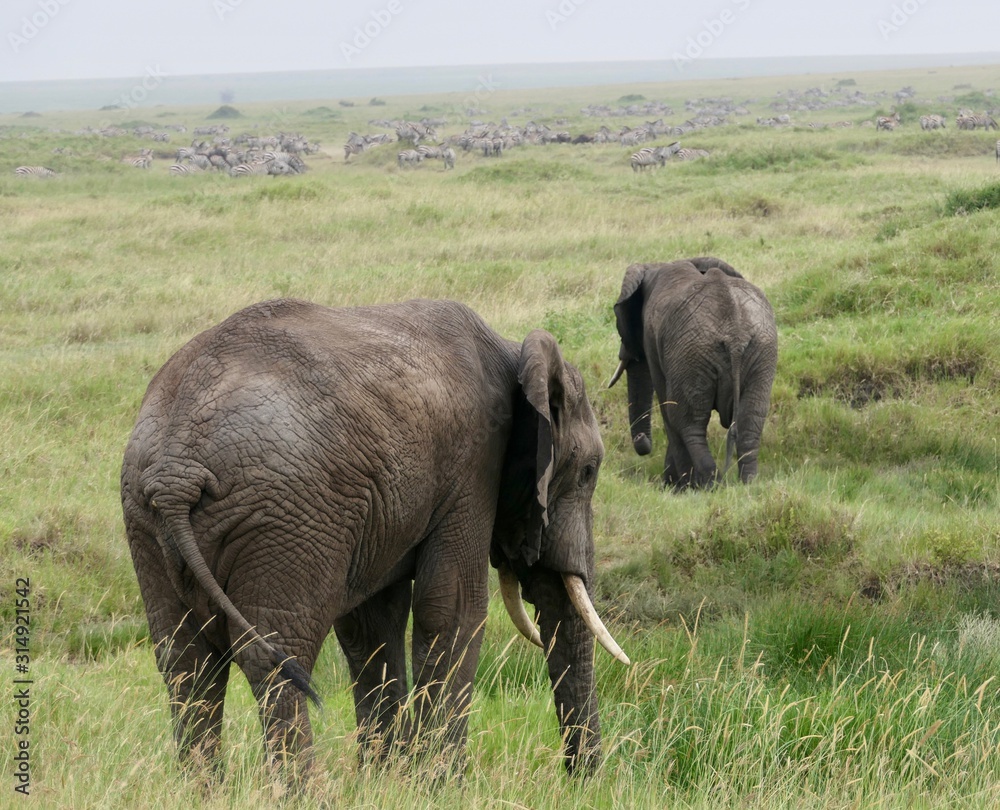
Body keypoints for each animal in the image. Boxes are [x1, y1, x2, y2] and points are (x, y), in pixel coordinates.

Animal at [121, 297, 629, 783]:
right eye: (588, 471)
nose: (582, 783)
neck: (515, 354)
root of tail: (176, 470)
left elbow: (371, 626)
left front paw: (385, 779)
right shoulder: (472, 470)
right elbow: (453, 610)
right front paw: (442, 786)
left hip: (148, 521)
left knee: (185, 661)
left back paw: (204, 791)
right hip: (287, 519)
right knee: (277, 655)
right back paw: (300, 793)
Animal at [608, 257, 778, 490]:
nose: (642, 437)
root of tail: (735, 334)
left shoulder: (653, 340)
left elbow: (666, 406)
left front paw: (676, 487)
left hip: (693, 354)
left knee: (687, 423)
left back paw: (706, 486)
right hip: (760, 352)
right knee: (751, 418)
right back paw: (747, 484)